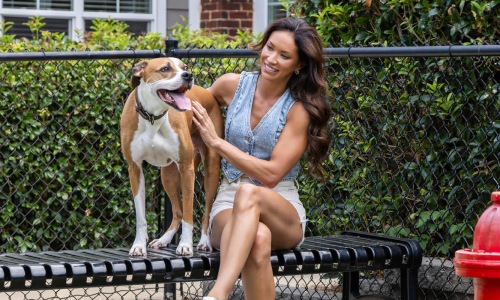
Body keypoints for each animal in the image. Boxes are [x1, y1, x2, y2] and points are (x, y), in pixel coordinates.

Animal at [120, 57, 222, 256]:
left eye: (184, 67)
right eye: (165, 69)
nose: (188, 75)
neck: (153, 117)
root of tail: (208, 93)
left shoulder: (187, 168)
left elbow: (189, 211)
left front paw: (185, 245)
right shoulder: (134, 168)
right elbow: (141, 215)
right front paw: (138, 245)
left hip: (211, 170)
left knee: (206, 211)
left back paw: (204, 242)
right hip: (167, 174)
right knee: (177, 211)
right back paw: (163, 240)